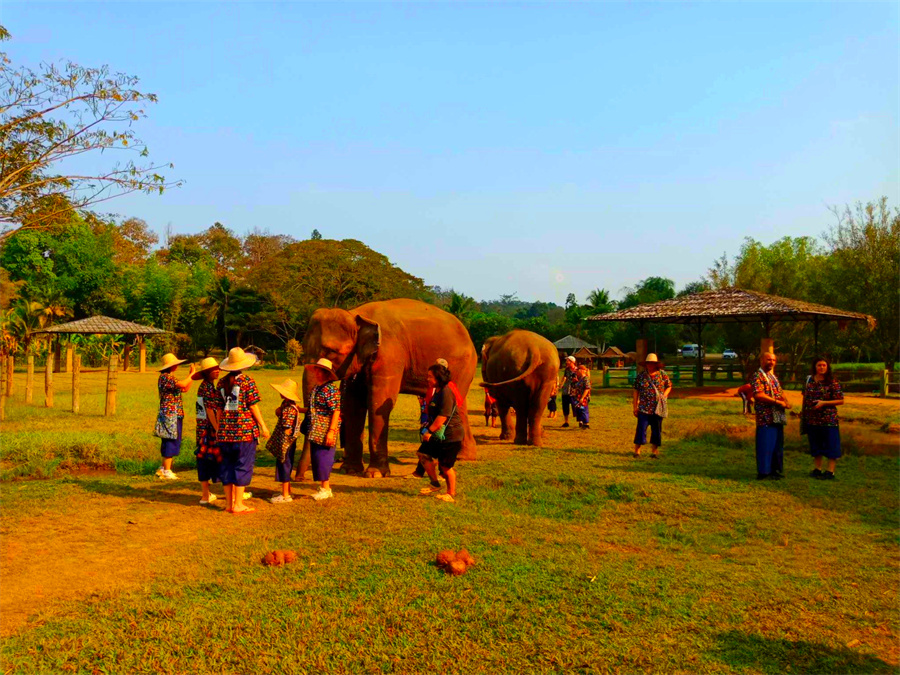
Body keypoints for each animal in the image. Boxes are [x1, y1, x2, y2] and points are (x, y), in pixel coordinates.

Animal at [302, 298, 478, 478]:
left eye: (331, 351)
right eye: (303, 348)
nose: (300, 477)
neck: (356, 314)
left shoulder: (389, 355)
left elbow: (378, 404)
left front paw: (375, 474)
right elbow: (353, 405)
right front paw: (349, 470)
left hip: (463, 365)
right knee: (458, 405)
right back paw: (463, 456)